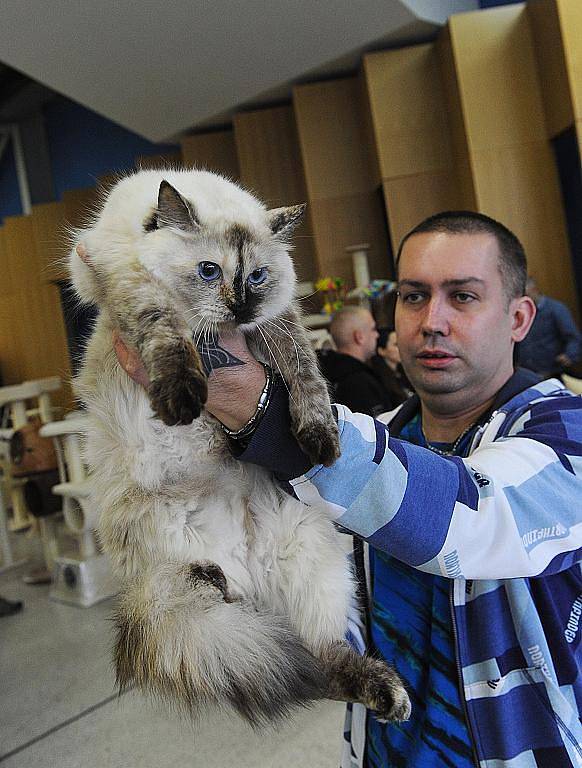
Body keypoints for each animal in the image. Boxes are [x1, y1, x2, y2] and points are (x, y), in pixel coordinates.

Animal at [70, 168, 412, 728]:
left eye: (256, 277)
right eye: (209, 271)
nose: (239, 307)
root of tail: (248, 571)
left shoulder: (279, 322)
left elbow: (305, 376)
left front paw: (320, 439)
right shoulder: (132, 286)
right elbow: (167, 335)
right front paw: (182, 398)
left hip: (311, 560)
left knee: (325, 660)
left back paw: (388, 696)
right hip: (161, 556)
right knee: (183, 590)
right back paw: (210, 581)